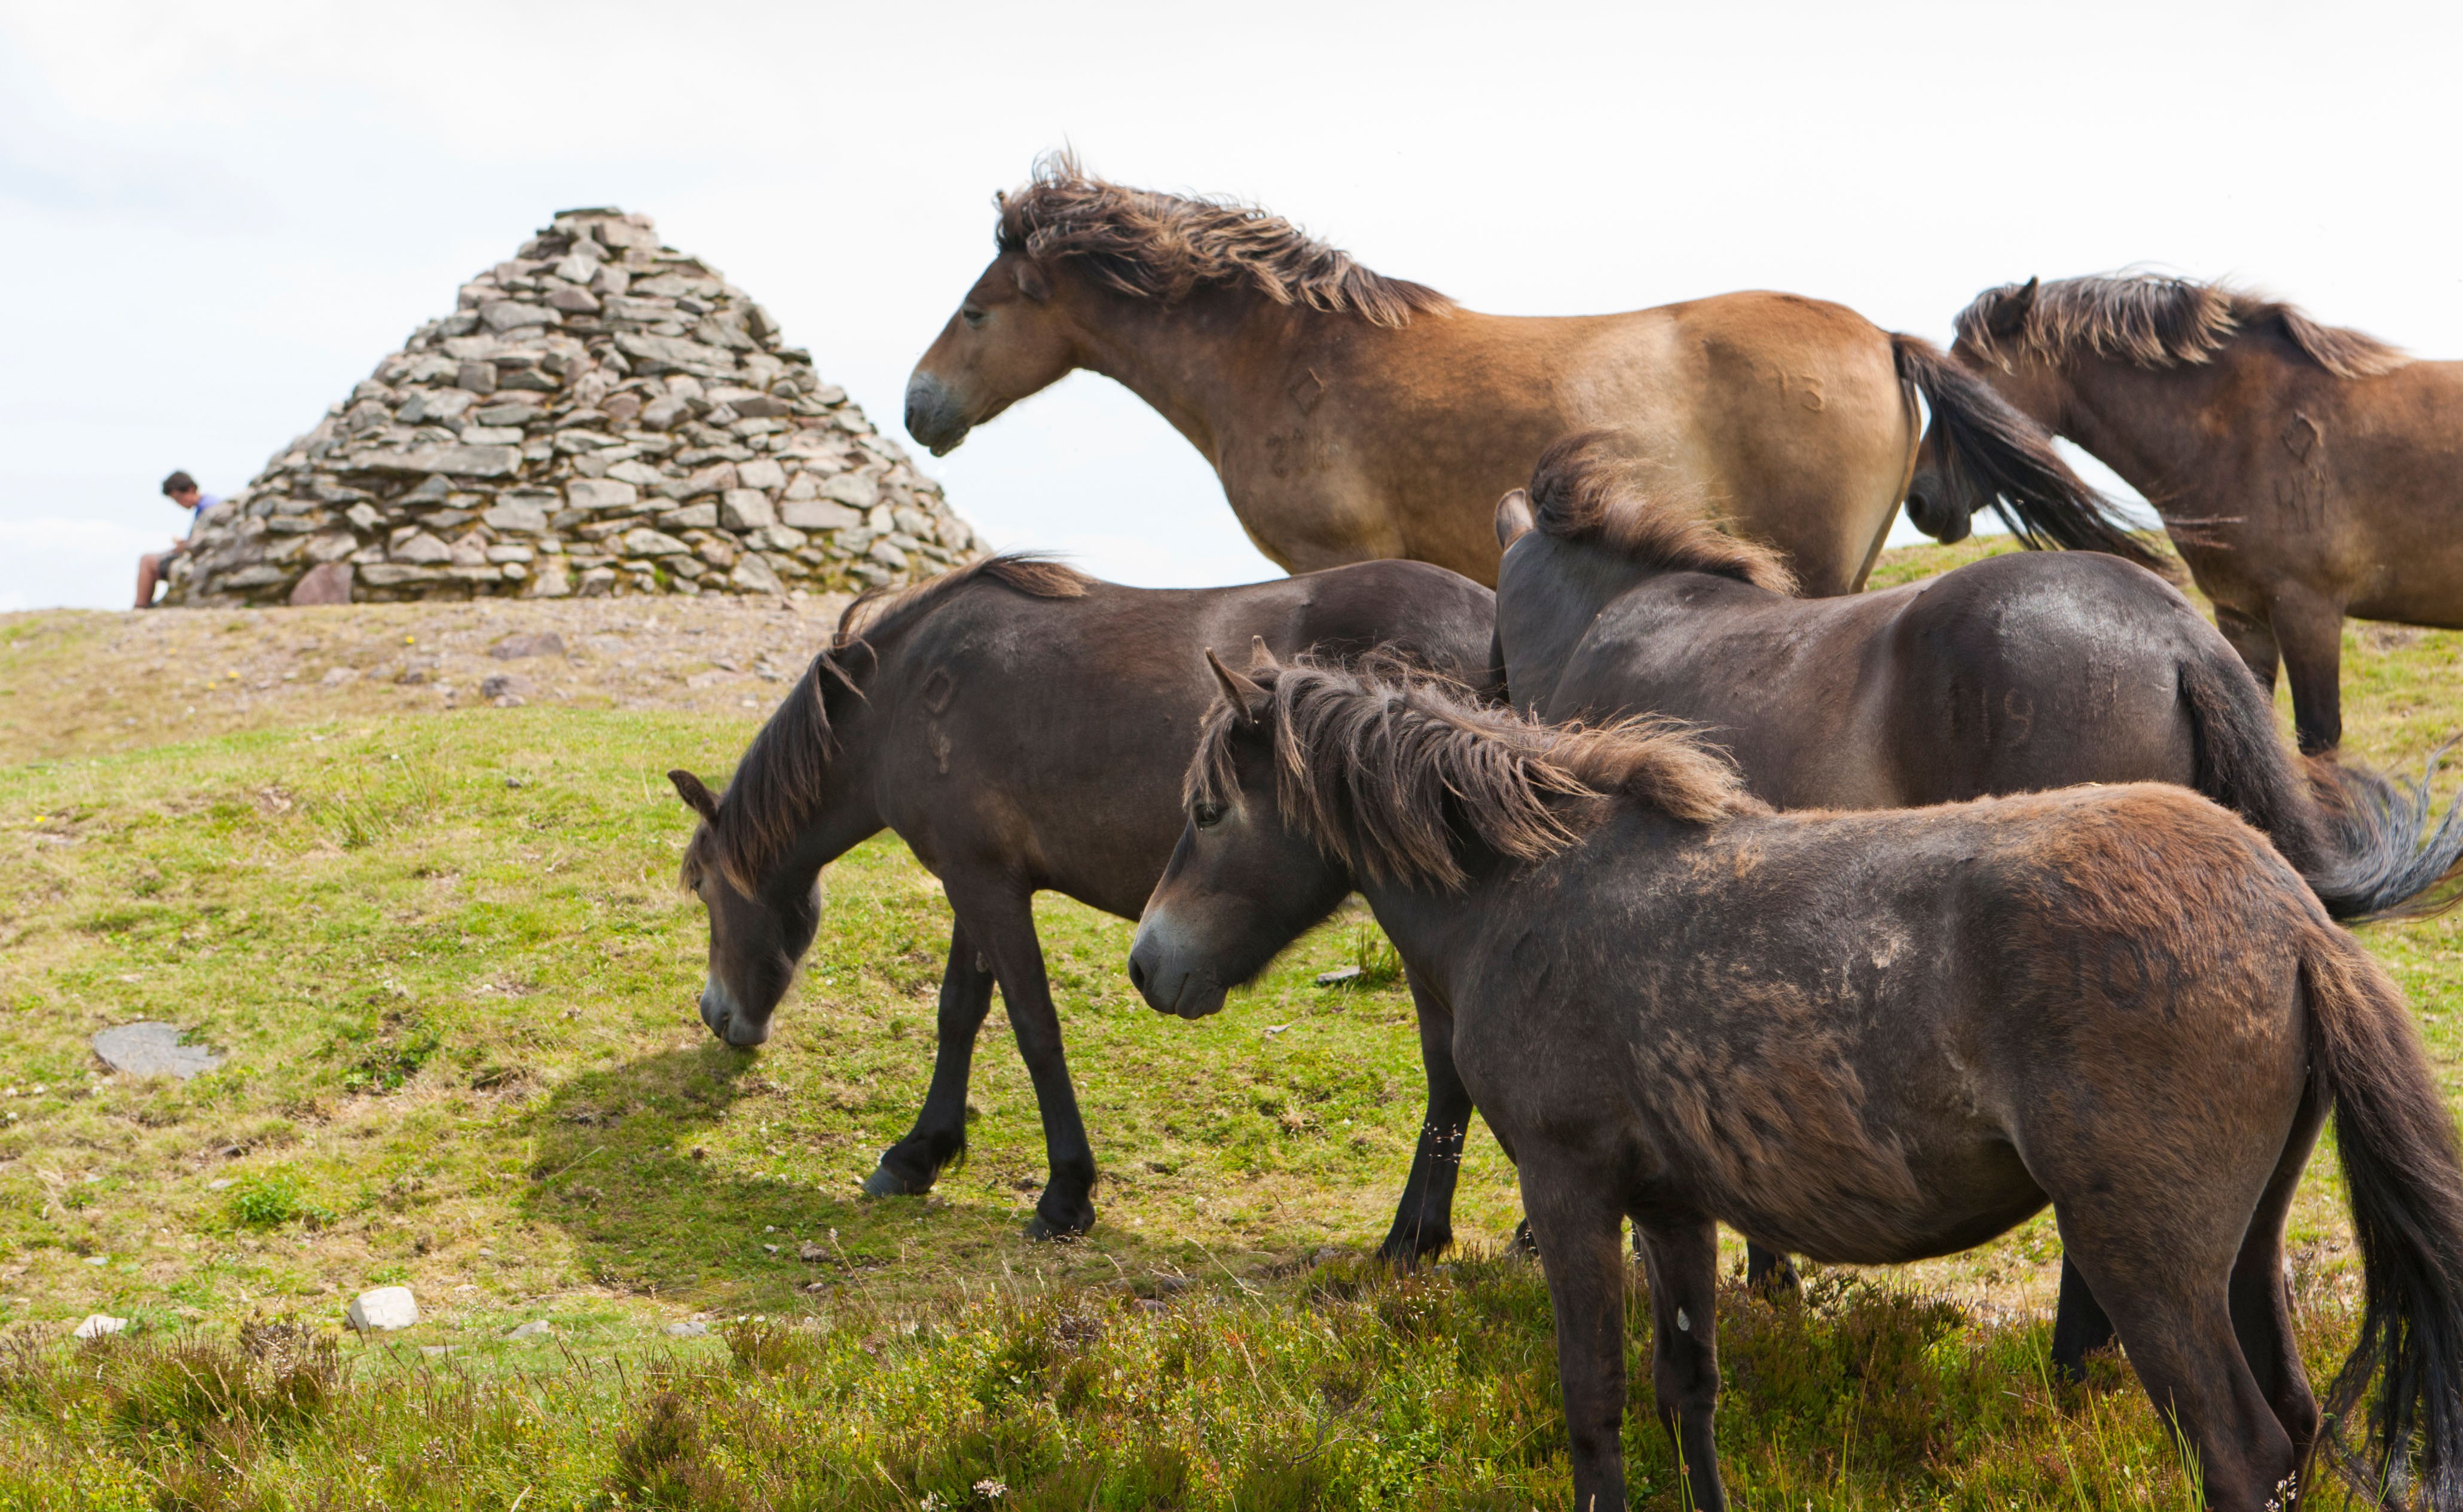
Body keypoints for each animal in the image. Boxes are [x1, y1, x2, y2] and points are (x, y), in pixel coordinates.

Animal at [665, 556, 1487, 1245]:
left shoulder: (986, 885)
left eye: (701, 887)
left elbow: (1034, 1027)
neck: (907, 693)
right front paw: (921, 1152)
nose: (715, 1013)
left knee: (1449, 1068)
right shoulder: (974, 877)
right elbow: (959, 1011)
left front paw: (1065, 1192)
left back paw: (1413, 1239)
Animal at [1127, 660, 2463, 1512]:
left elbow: (1593, 1404)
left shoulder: (1569, 1191)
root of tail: (2293, 919)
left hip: (2148, 1260)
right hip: (2242, 1250)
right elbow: (1687, 1391)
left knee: (2236, 1449)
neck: (1533, 890)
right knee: (2292, 1430)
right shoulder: (1671, 1206)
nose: (1151, 963)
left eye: (1207, 806)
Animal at [1921, 274, 2463, 758]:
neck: (2247, 428)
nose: (1922, 499)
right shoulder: (2244, 616)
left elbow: (2319, 742)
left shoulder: (2309, 612)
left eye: (1967, 382)